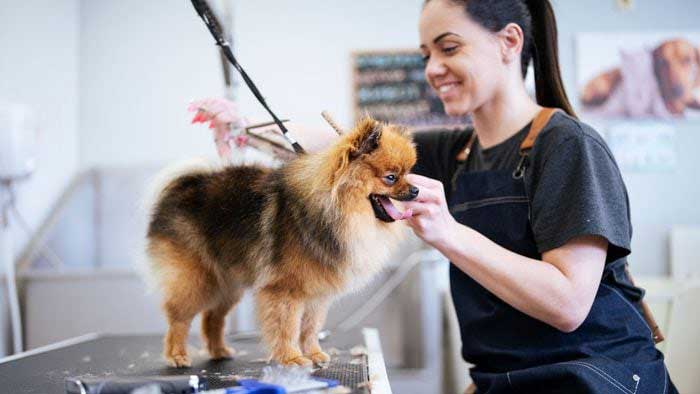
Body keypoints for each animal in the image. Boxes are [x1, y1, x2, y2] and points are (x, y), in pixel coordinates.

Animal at [143, 117, 416, 366]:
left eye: (408, 173)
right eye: (391, 177)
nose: (415, 190)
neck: (335, 211)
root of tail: (186, 184)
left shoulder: (316, 293)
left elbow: (310, 327)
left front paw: (314, 353)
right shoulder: (285, 289)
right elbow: (287, 326)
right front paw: (292, 358)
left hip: (228, 283)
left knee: (212, 317)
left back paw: (219, 351)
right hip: (195, 278)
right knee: (179, 316)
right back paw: (177, 355)